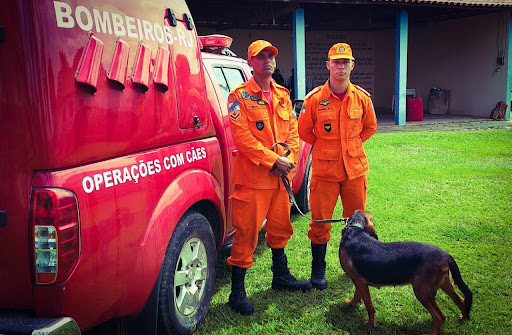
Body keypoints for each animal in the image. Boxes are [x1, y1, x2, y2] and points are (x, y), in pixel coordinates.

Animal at [338, 211, 474, 334]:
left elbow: (369, 306)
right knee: (460, 300)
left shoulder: (359, 281)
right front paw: (351, 304)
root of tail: (446, 255)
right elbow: (357, 295)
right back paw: (463, 318)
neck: (355, 229)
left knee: (440, 317)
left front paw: (369, 325)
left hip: (422, 292)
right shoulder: (358, 280)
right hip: (444, 283)